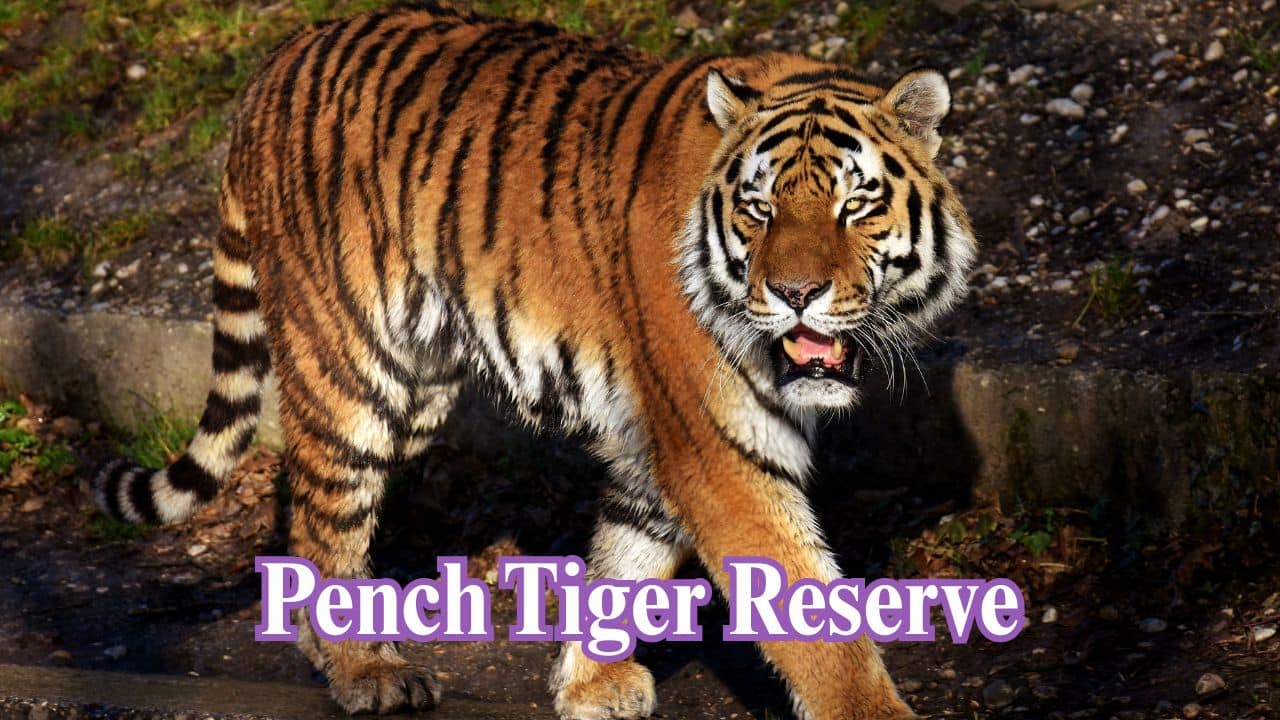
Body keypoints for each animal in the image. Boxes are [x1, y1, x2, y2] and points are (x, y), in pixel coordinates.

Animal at [91, 2, 976, 718]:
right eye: (759, 209)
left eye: (855, 204)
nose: (794, 293)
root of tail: (276, 62)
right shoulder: (717, 446)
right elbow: (813, 619)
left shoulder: (659, 440)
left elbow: (627, 558)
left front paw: (589, 682)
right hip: (353, 373)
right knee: (325, 516)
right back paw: (366, 670)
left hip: (418, 388)